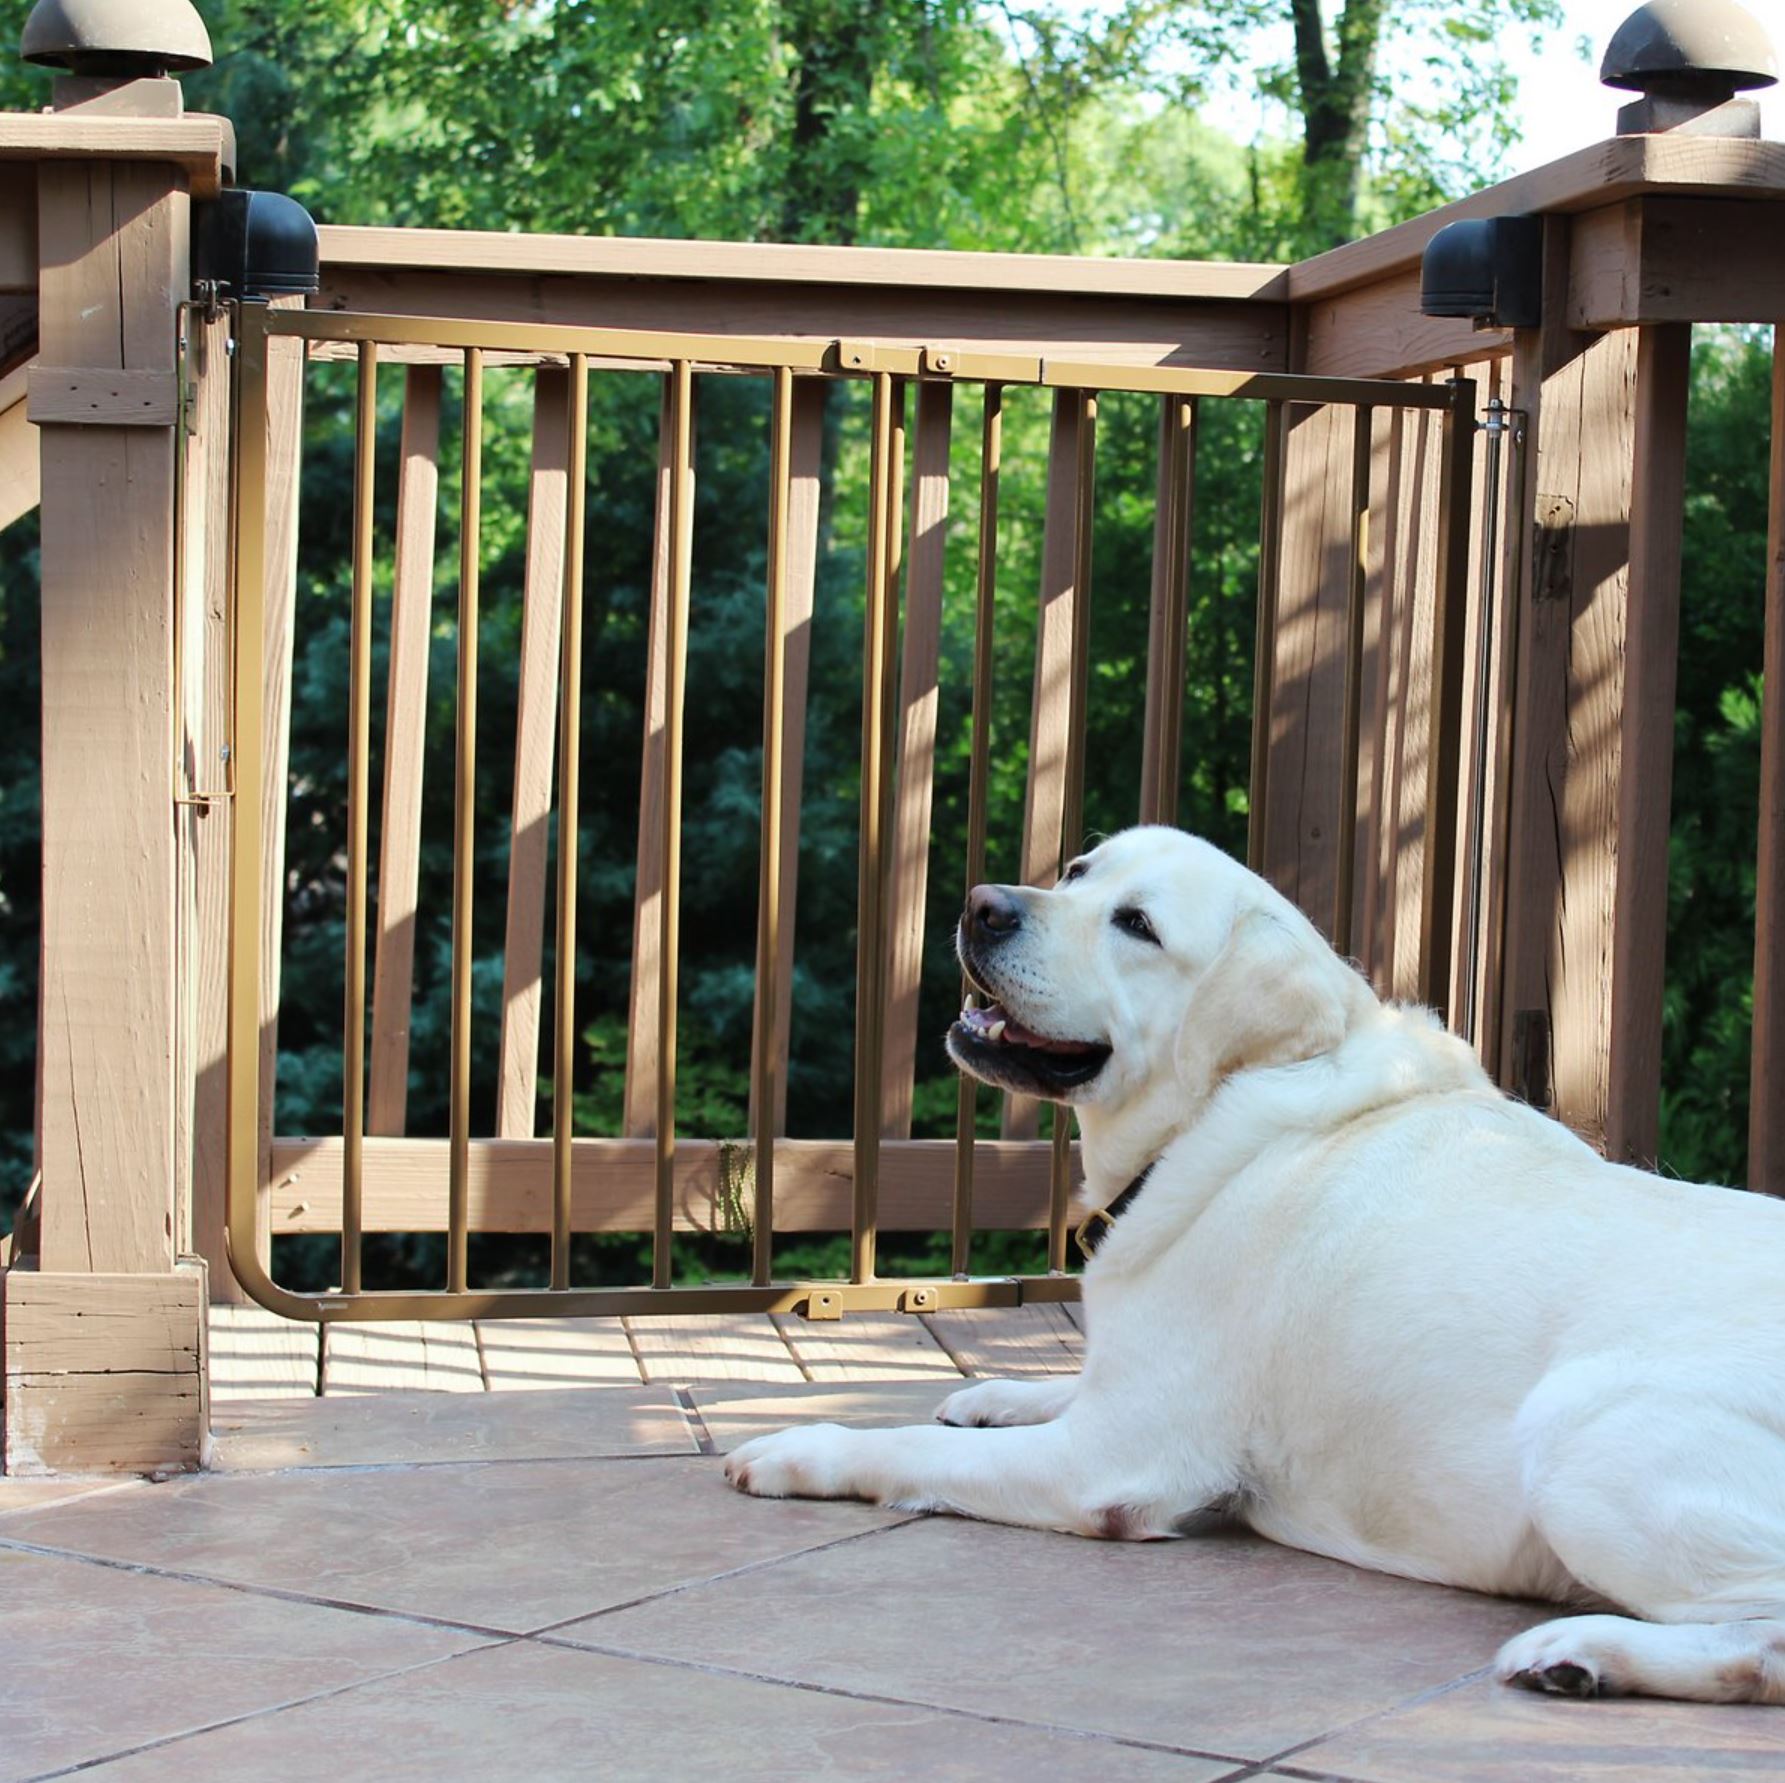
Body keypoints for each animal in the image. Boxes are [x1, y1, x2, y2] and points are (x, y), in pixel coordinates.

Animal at [721, 828, 1785, 1706]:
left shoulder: (1106, 1461)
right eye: (1077, 871)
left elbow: (908, 1447)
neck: (1221, 1106)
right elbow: (1051, 1384)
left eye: (1137, 926)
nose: (985, 903)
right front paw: (998, 1391)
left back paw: (1582, 1649)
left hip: (1582, 1438)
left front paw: (797, 1448)